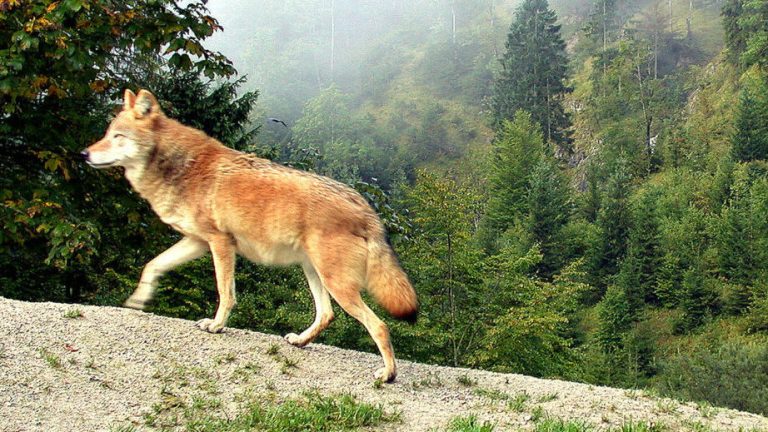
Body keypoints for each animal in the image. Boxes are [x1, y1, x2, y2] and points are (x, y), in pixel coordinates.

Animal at [82, 89, 418, 382]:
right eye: (106, 133)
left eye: (117, 137)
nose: (84, 154)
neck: (181, 167)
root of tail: (366, 207)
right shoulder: (197, 242)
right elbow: (152, 266)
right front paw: (138, 301)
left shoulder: (220, 243)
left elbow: (225, 292)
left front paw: (216, 325)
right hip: (314, 273)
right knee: (327, 315)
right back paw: (300, 341)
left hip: (337, 284)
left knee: (379, 325)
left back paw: (388, 374)